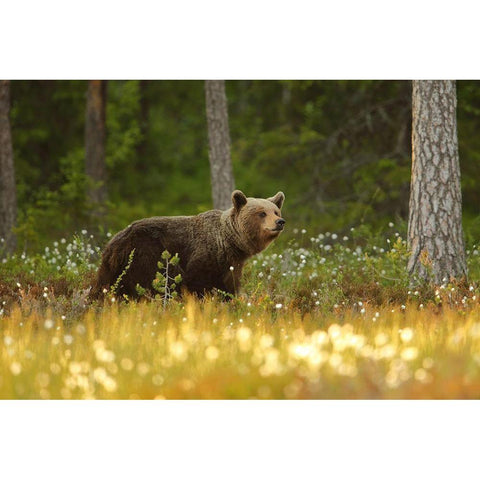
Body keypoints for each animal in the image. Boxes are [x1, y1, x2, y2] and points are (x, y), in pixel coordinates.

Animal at [89, 188, 284, 298]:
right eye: (262, 213)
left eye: (275, 211)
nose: (280, 222)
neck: (229, 243)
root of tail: (115, 242)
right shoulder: (204, 257)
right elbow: (198, 284)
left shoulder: (231, 264)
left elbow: (229, 285)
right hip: (145, 255)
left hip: (112, 266)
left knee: (103, 285)